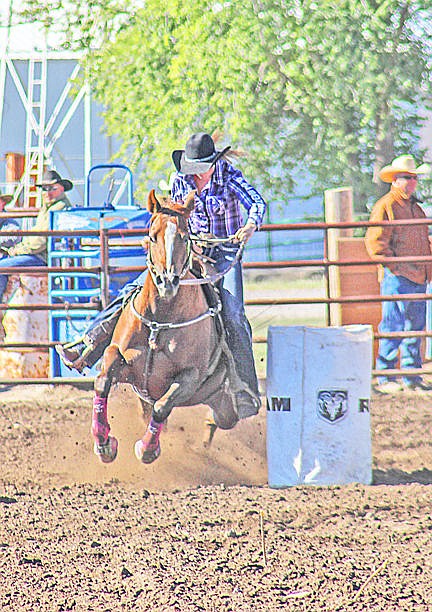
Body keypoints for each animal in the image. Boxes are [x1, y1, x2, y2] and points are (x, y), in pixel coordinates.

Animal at [91, 189, 240, 462]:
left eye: (184, 236)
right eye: (152, 236)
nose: (166, 281)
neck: (160, 320)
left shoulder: (190, 377)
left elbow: (163, 406)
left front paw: (147, 449)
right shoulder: (118, 355)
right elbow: (103, 381)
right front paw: (105, 443)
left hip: (224, 403)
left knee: (220, 417)